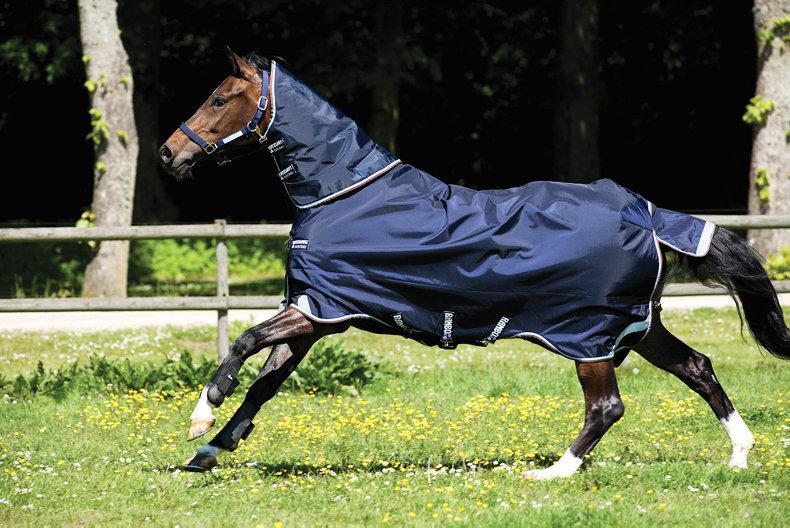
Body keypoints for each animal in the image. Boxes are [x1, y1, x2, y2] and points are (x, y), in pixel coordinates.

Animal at [159, 48, 790, 478]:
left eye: (220, 99)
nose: (170, 153)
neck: (342, 193)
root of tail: (649, 215)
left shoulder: (322, 309)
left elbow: (244, 343)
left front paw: (201, 416)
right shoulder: (318, 314)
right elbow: (266, 383)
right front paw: (208, 451)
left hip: (588, 334)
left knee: (607, 406)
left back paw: (552, 472)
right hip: (636, 326)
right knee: (698, 368)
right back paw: (739, 454)